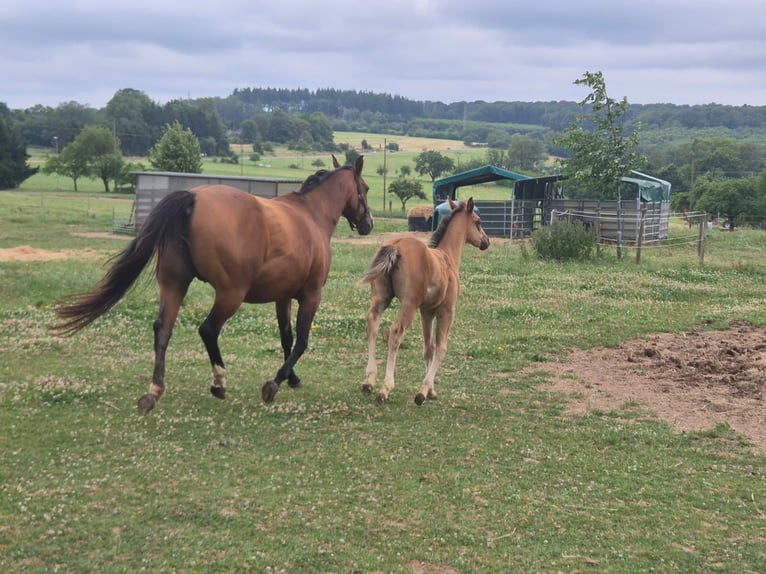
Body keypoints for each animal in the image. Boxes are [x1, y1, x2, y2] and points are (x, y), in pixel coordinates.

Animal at [55, 155, 373, 413]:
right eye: (367, 189)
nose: (368, 224)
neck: (310, 214)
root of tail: (192, 198)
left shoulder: (282, 297)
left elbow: (287, 338)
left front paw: (291, 378)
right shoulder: (311, 295)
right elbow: (302, 340)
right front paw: (274, 383)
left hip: (174, 285)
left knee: (163, 329)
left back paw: (154, 391)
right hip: (230, 294)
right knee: (208, 329)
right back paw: (219, 382)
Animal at [358, 197, 489, 405]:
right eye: (478, 222)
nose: (486, 242)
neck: (447, 257)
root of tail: (397, 244)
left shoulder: (427, 312)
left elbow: (429, 348)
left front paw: (431, 390)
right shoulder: (446, 311)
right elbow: (441, 348)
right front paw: (423, 391)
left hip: (381, 298)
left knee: (372, 323)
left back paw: (369, 381)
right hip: (408, 304)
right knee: (395, 333)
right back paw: (385, 388)